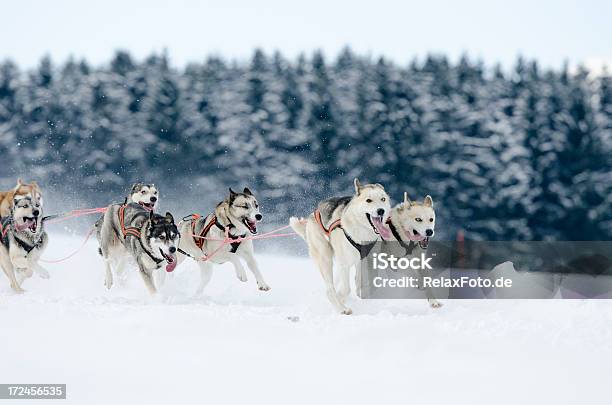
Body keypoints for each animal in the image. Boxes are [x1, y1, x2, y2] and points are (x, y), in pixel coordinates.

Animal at [290, 178, 392, 314]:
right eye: (368, 200)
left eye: (383, 199)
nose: (381, 210)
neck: (362, 232)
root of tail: (313, 213)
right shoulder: (345, 263)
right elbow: (345, 289)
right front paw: (341, 301)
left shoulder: (367, 260)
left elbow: (365, 285)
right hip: (325, 256)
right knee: (330, 289)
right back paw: (341, 307)